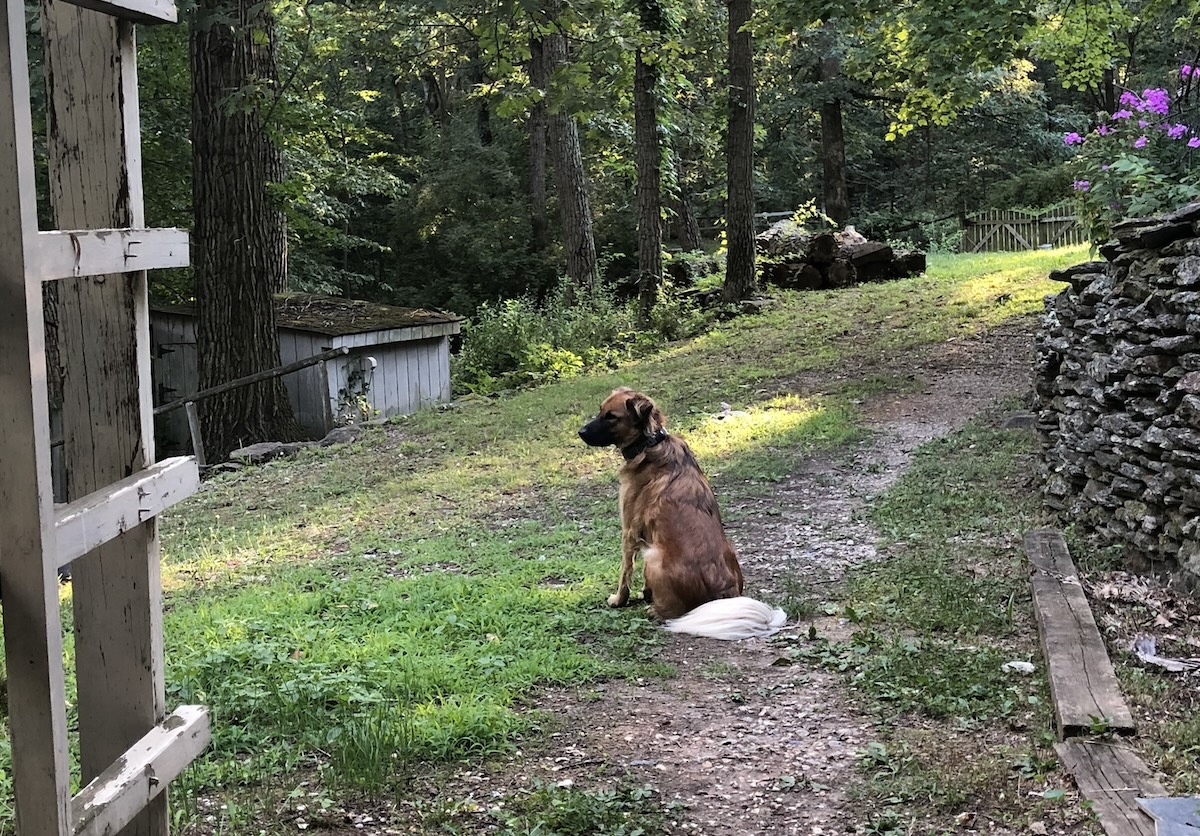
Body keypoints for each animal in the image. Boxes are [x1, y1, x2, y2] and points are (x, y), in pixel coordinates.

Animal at [578, 386, 787, 638]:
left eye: (611, 417)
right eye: (600, 411)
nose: (580, 432)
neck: (649, 443)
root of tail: (721, 598)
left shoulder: (629, 531)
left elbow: (625, 572)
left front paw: (619, 599)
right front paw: (645, 593)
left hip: (654, 556)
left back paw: (654, 610)